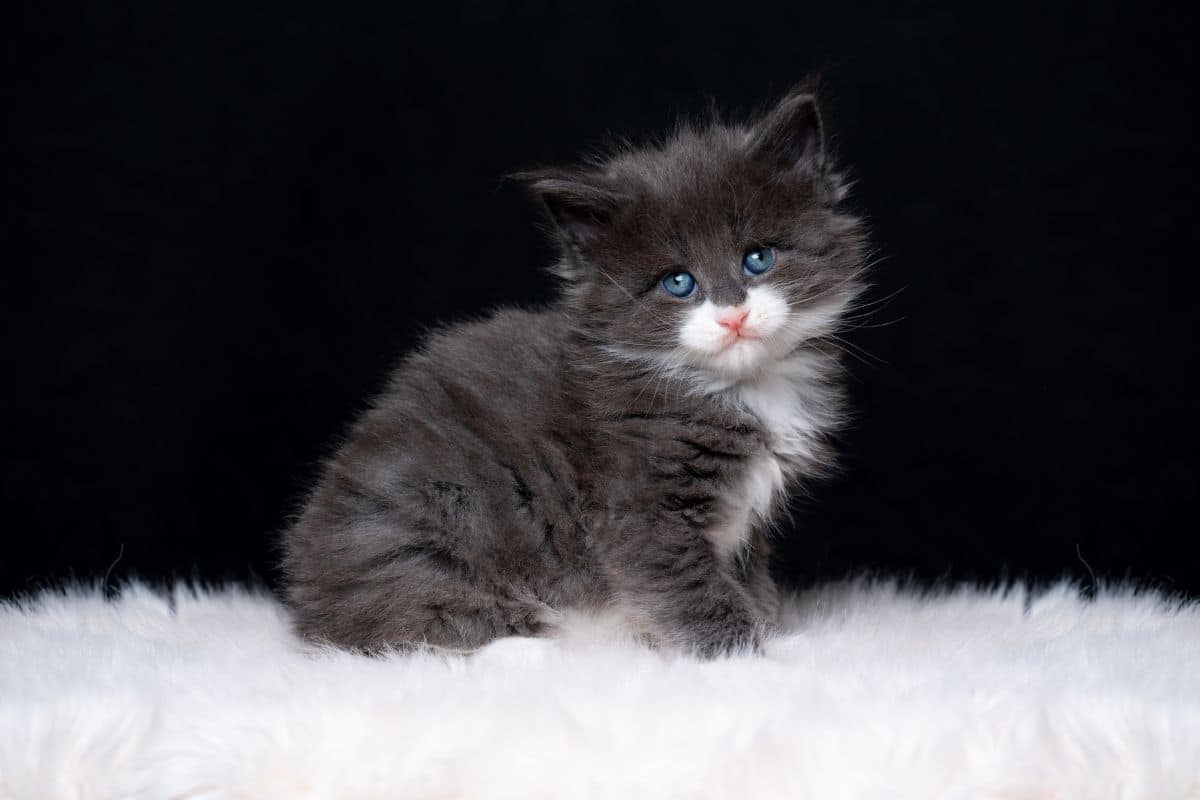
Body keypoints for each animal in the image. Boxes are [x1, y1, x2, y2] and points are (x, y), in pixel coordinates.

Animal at [280, 82, 864, 657]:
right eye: (679, 282)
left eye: (758, 259)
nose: (734, 316)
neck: (734, 387)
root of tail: (310, 607)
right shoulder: (639, 506)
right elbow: (690, 587)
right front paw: (746, 655)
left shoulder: (741, 520)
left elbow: (748, 572)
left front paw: (774, 627)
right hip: (433, 536)